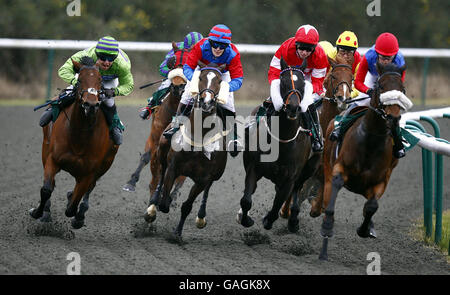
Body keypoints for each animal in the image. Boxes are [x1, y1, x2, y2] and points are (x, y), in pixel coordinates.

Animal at [29, 56, 118, 230]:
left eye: (100, 81)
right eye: (80, 80)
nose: (91, 104)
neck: (79, 134)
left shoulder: (89, 172)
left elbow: (72, 206)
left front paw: (76, 213)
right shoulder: (53, 159)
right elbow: (46, 189)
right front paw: (37, 212)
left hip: (105, 165)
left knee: (89, 190)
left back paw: (79, 214)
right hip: (45, 149)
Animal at [122, 42, 187, 194]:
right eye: (171, 62)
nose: (178, 86)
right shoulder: (155, 135)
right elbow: (146, 156)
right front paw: (131, 182)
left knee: (180, 179)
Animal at [144, 61, 229, 238]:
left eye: (219, 80)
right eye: (200, 78)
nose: (206, 102)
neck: (198, 139)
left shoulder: (203, 179)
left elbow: (187, 206)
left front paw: (177, 233)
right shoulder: (173, 168)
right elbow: (164, 201)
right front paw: (156, 207)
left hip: (216, 174)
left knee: (208, 189)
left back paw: (201, 217)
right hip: (162, 151)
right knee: (159, 177)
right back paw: (152, 207)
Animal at [236, 57, 320, 234]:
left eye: (303, 84)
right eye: (283, 82)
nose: (293, 107)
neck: (282, 140)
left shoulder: (290, 177)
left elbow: (278, 203)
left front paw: (268, 220)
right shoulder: (253, 168)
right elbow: (246, 199)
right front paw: (246, 219)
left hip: (310, 167)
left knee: (297, 190)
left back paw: (293, 220)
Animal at [316, 61, 412, 260]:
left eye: (403, 89)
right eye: (381, 86)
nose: (393, 116)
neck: (372, 139)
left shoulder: (380, 181)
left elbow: (372, 206)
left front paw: (365, 229)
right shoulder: (339, 169)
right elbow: (331, 203)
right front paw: (327, 227)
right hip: (327, 167)